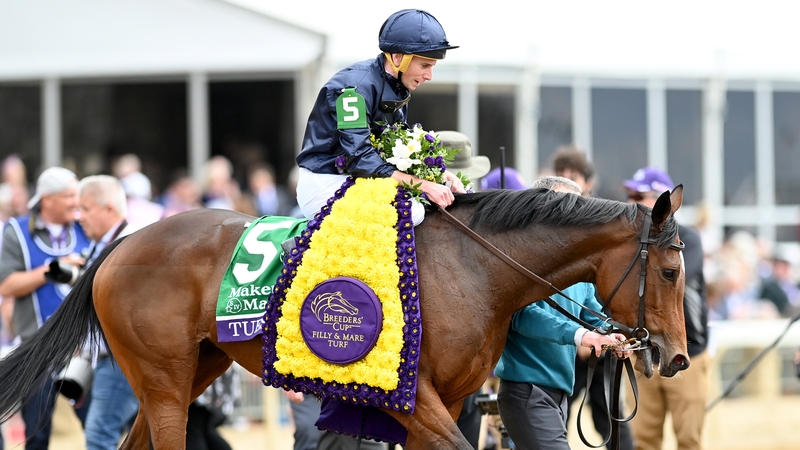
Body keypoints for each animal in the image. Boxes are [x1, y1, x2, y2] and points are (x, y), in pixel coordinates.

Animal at [0, 185, 689, 450]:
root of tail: (119, 244)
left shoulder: (445, 400)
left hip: (190, 369)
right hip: (165, 379)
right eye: (671, 272)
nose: (676, 355)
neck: (473, 264)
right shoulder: (416, 400)